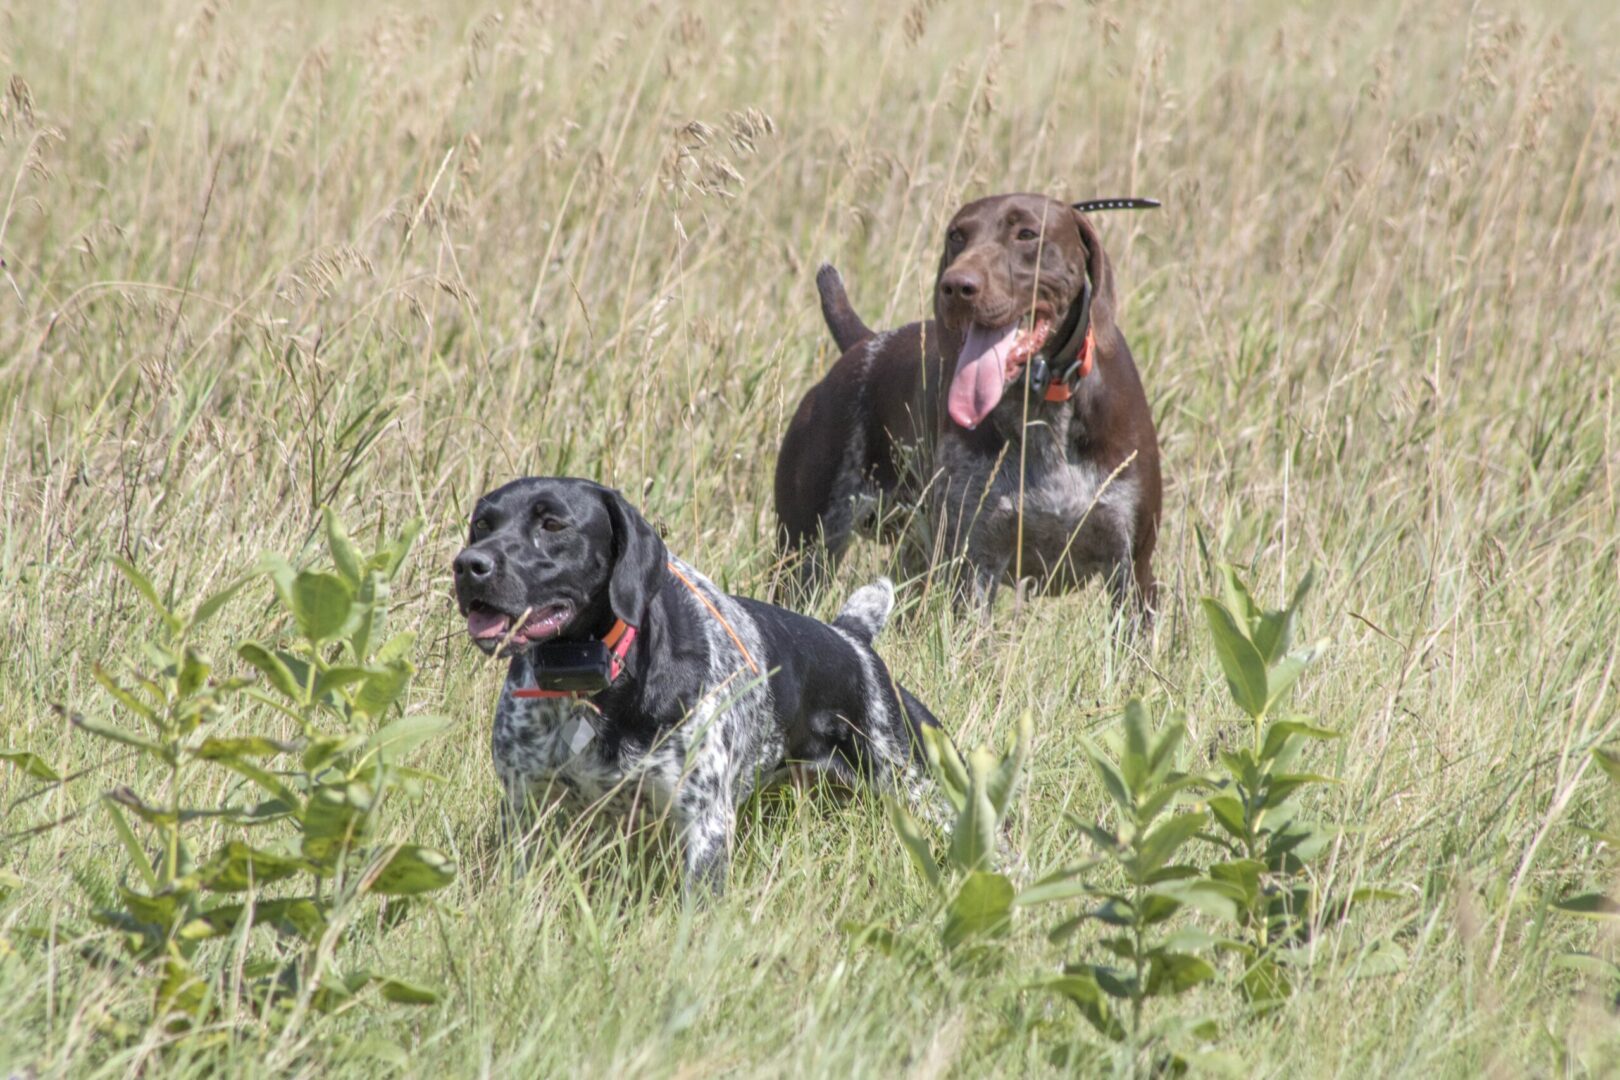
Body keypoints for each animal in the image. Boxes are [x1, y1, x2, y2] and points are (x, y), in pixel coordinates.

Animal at [450, 479, 946, 893]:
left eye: (552, 524)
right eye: (482, 524)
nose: (469, 565)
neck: (590, 684)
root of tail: (852, 637)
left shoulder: (705, 823)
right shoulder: (524, 807)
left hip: (920, 789)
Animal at [777, 195, 1159, 615]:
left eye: (1027, 234)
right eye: (956, 236)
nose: (957, 286)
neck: (1040, 405)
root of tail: (865, 344)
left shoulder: (1133, 570)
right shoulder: (976, 566)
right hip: (805, 555)